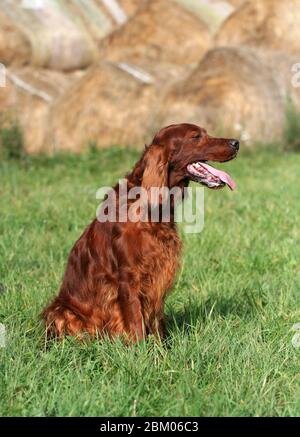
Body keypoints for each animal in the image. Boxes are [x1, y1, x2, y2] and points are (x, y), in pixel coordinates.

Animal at [42, 122, 239, 340]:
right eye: (196, 137)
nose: (236, 143)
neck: (149, 209)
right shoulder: (129, 277)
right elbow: (136, 321)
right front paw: (141, 348)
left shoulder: (158, 273)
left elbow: (156, 319)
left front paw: (161, 345)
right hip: (60, 311)